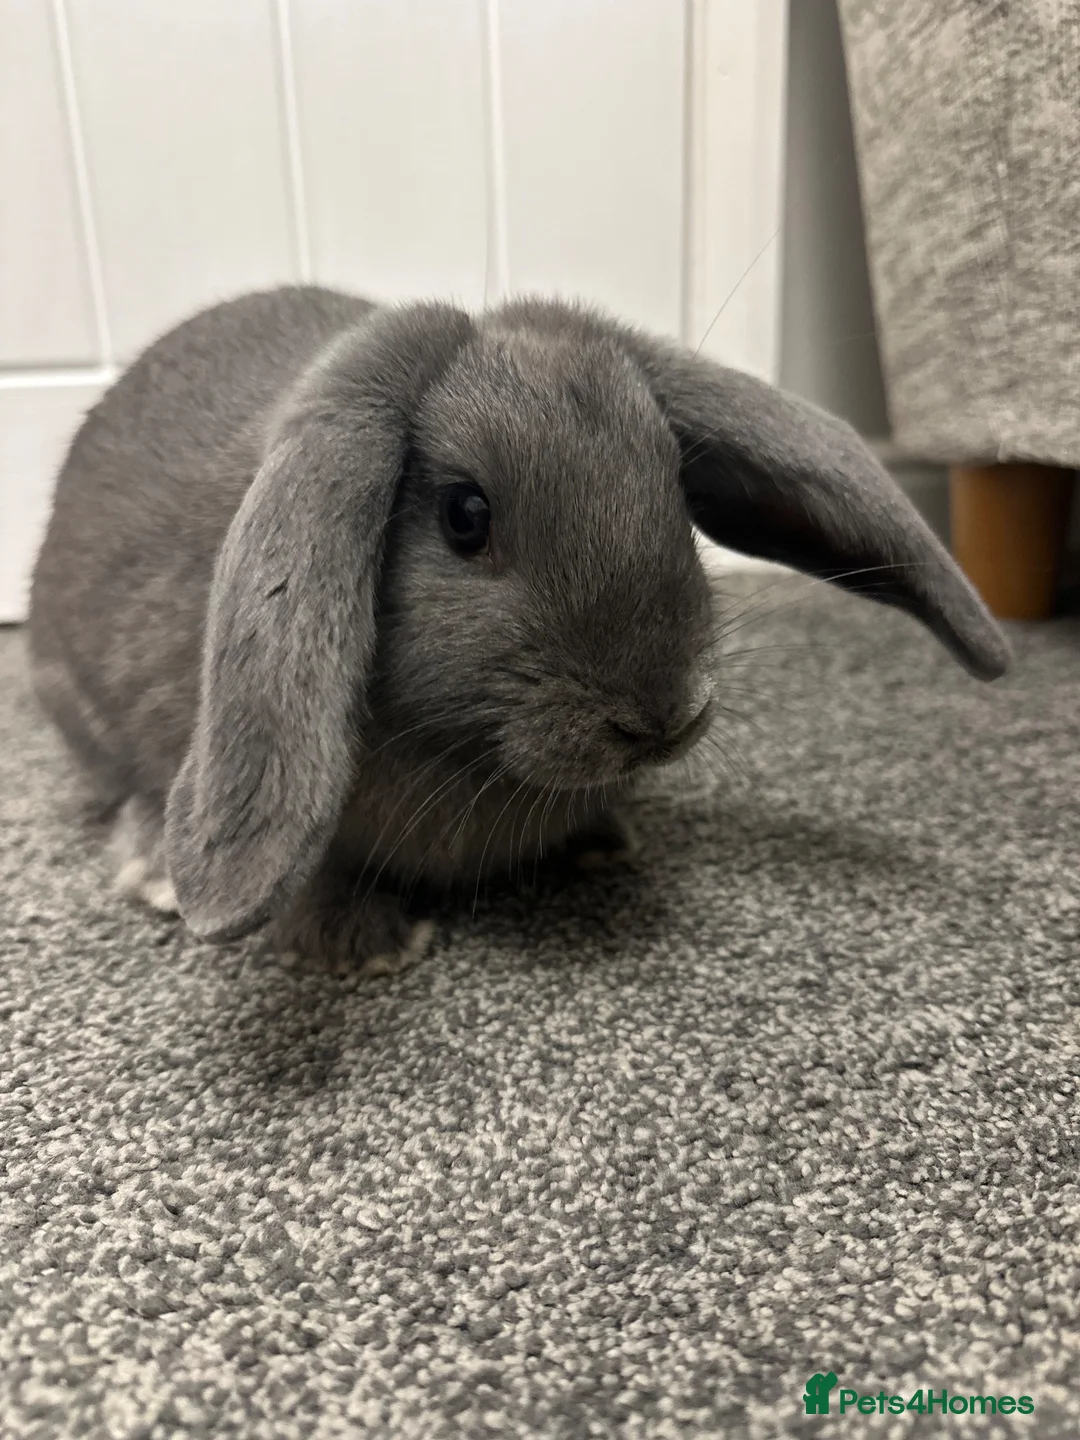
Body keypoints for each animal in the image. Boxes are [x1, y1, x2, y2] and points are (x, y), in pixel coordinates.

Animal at [28, 285, 1010, 970]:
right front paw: (358, 949)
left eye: (674, 481)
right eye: (466, 516)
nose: (664, 714)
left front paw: (603, 842)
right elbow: (317, 868)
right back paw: (158, 869)